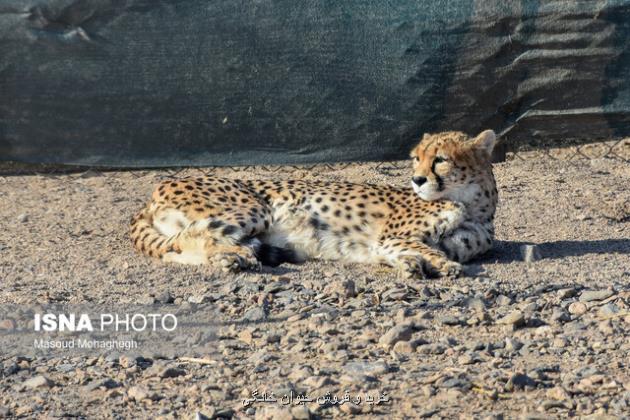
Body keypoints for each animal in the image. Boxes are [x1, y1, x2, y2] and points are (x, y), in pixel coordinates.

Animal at [131, 130, 502, 278]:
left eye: (440, 160)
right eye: (416, 158)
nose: (418, 179)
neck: (471, 206)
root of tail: (159, 186)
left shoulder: (387, 245)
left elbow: (415, 252)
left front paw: (412, 265)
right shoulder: (390, 237)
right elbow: (426, 248)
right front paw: (437, 264)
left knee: (179, 248)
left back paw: (233, 257)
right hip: (254, 208)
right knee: (193, 237)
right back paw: (232, 257)